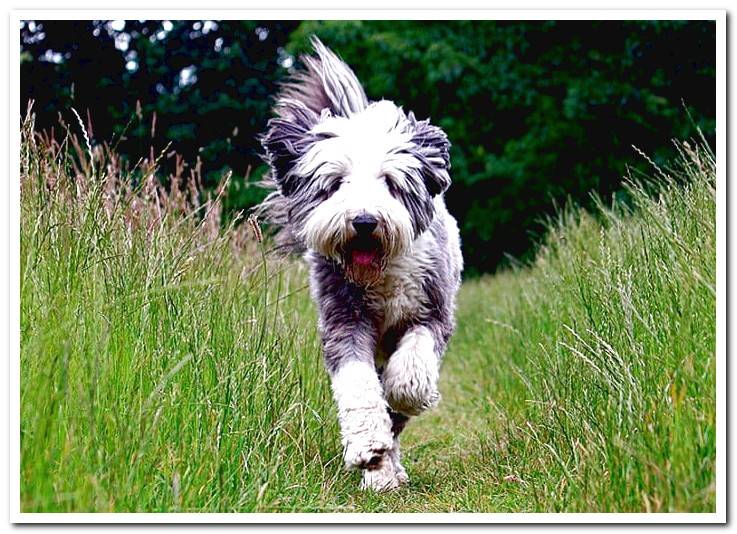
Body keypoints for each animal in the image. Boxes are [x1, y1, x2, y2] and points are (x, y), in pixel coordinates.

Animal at [258, 35, 460, 492]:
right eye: (335, 184)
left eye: (390, 182)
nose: (365, 221)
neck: (381, 274)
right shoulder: (343, 319)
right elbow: (358, 385)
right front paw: (369, 448)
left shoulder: (433, 310)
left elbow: (410, 370)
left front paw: (406, 394)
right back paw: (382, 472)